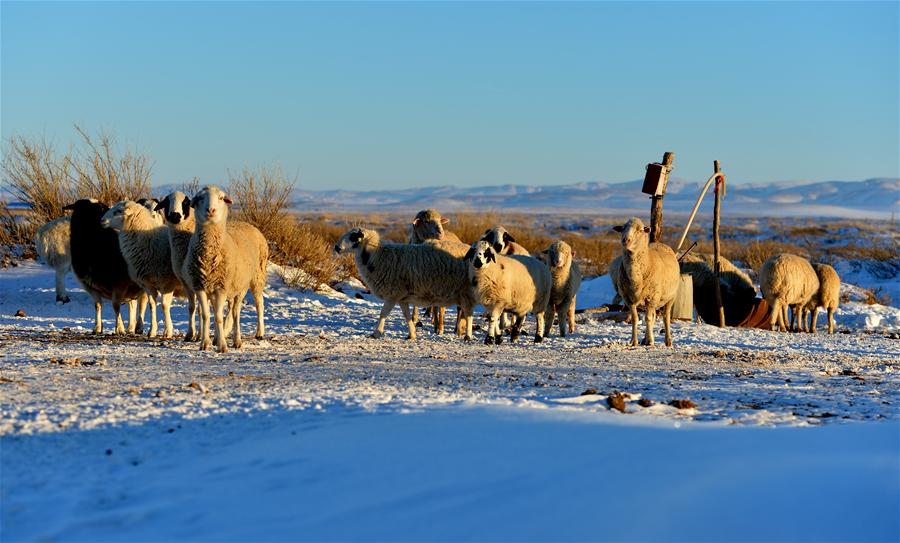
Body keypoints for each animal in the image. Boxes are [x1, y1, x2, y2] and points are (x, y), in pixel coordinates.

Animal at [62, 200, 146, 336]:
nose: (102, 220)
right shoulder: (91, 286)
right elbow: (97, 305)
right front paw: (97, 328)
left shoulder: (119, 284)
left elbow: (115, 305)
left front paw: (119, 329)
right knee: (133, 304)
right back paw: (131, 327)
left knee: (142, 303)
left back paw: (138, 327)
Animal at [101, 200, 185, 338]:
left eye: (118, 211)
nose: (101, 220)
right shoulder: (149, 284)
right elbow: (152, 305)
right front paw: (152, 331)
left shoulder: (168, 282)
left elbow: (164, 305)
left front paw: (168, 331)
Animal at [183, 187, 268, 354]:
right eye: (200, 198)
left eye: (221, 198)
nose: (211, 210)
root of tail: (247, 224)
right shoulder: (200, 286)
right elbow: (206, 315)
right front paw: (205, 343)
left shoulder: (221, 287)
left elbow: (218, 317)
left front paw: (222, 346)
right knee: (230, 312)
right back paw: (219, 338)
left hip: (253, 280)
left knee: (247, 309)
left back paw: (250, 336)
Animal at [336, 228, 478, 340]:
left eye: (353, 237)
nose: (337, 248)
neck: (377, 256)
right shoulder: (401, 297)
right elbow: (407, 315)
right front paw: (412, 334)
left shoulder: (392, 294)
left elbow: (383, 313)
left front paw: (376, 333)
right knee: (465, 312)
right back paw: (461, 331)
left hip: (466, 291)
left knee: (468, 313)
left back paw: (467, 335)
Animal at [612, 218, 684, 348]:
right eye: (622, 229)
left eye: (640, 230)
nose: (625, 240)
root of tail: (660, 243)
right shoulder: (629, 299)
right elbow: (635, 319)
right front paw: (634, 341)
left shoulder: (651, 298)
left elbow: (648, 319)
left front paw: (651, 341)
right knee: (653, 316)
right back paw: (645, 339)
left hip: (670, 297)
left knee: (665, 317)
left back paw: (667, 340)